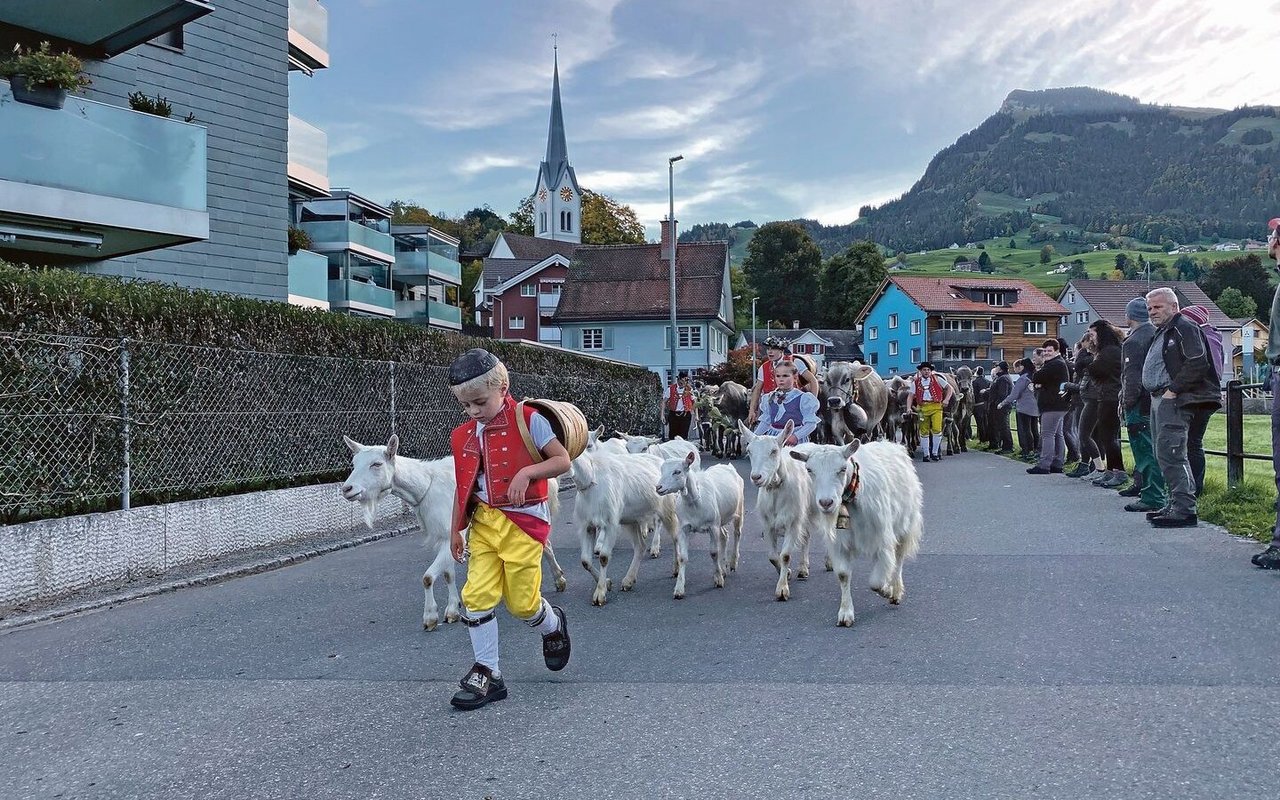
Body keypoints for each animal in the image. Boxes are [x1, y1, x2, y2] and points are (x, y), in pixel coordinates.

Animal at [340, 437, 565, 629]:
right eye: (354, 462)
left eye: (376, 464)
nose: (347, 489)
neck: (425, 484)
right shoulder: (446, 540)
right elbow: (448, 574)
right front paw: (453, 610)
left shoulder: (451, 534)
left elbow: (427, 577)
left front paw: (431, 617)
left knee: (544, 545)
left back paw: (558, 580)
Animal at [576, 445, 686, 601]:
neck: (591, 477)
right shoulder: (587, 525)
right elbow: (585, 561)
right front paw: (607, 583)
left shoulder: (610, 524)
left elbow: (604, 557)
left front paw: (600, 593)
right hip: (631, 520)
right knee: (640, 546)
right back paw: (628, 581)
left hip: (667, 510)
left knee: (675, 537)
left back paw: (676, 569)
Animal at [655, 450, 747, 593]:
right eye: (662, 470)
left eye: (677, 471)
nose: (658, 487)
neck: (696, 502)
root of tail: (728, 466)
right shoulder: (684, 527)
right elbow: (683, 557)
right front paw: (679, 589)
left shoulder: (712, 526)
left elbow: (714, 553)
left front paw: (718, 580)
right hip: (720, 518)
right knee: (725, 535)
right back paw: (723, 568)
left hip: (739, 508)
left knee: (737, 533)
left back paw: (732, 563)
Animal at [737, 417, 814, 599]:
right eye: (749, 451)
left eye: (773, 451)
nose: (756, 477)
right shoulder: (768, 524)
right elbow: (772, 556)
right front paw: (787, 573)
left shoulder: (792, 522)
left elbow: (785, 555)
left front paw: (782, 589)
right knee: (806, 536)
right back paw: (803, 568)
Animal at [788, 440, 921, 627]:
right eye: (809, 470)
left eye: (842, 468)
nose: (826, 503)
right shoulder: (840, 543)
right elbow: (844, 575)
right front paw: (845, 614)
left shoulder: (882, 539)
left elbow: (876, 582)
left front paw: (887, 591)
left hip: (906, 526)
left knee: (899, 558)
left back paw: (895, 591)